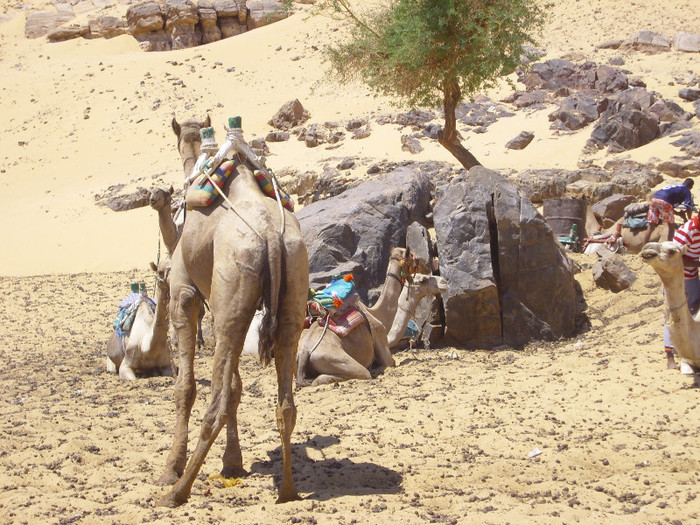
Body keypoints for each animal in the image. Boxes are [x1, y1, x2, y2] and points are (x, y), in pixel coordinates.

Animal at [157, 119, 310, 508]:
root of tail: (270, 236)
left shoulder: (185, 294)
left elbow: (186, 387)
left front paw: (171, 467)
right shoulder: (223, 306)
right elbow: (238, 387)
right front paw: (233, 462)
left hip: (232, 292)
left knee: (216, 401)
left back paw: (177, 491)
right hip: (289, 289)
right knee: (286, 404)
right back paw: (287, 490)